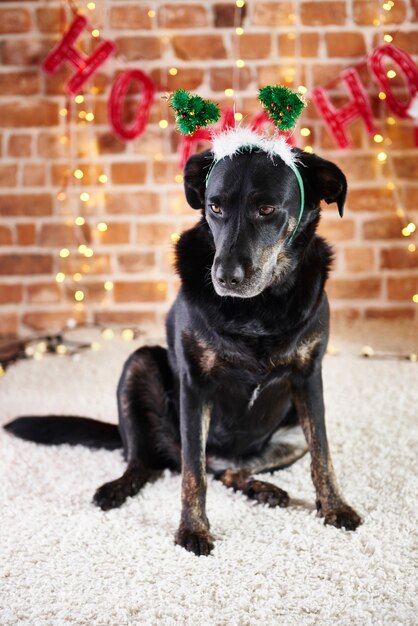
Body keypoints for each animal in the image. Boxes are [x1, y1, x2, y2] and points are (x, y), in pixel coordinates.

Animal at [4, 147, 360, 556]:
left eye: (267, 209)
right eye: (215, 207)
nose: (225, 278)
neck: (258, 308)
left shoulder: (309, 378)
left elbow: (322, 452)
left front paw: (334, 506)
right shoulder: (195, 384)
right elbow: (192, 472)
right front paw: (193, 529)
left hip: (288, 436)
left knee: (229, 472)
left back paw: (263, 489)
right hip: (139, 365)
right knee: (147, 463)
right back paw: (117, 488)